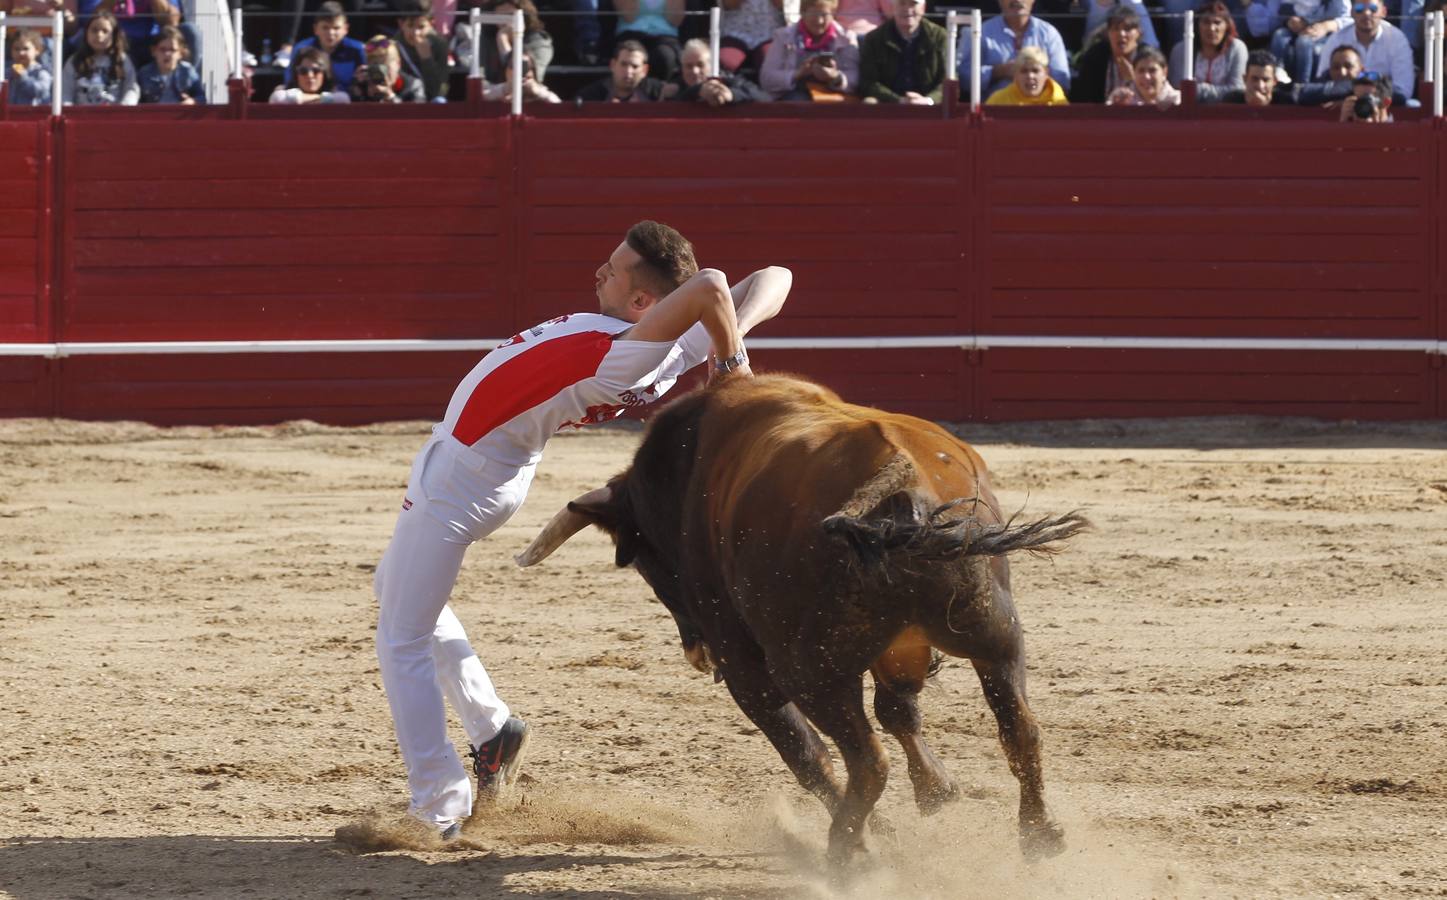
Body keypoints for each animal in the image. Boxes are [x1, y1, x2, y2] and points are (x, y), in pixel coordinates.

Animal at [518, 376, 1088, 868]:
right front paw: (937, 791)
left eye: (645, 562)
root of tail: (898, 483)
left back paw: (847, 853)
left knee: (862, 759)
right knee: (1020, 728)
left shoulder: (744, 662)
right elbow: (899, 711)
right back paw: (1041, 835)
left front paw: (886, 828)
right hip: (995, 634)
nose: (696, 652)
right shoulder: (898, 646)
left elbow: (806, 751)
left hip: (808, 669)